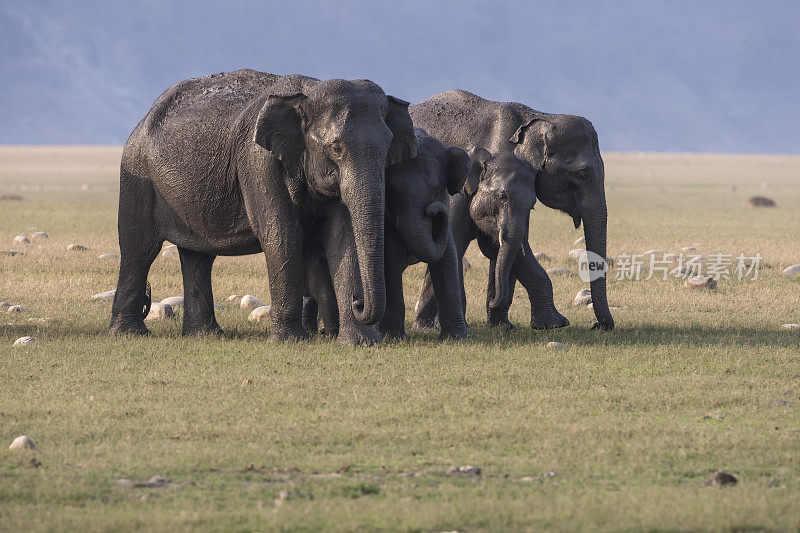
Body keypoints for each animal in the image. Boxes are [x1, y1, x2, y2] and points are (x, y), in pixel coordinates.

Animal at [112, 68, 418, 340]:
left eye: (388, 148)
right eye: (336, 148)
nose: (358, 302)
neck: (307, 94)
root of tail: (146, 116)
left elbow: (343, 236)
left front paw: (361, 341)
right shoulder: (258, 161)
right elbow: (281, 234)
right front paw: (289, 340)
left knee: (198, 256)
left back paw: (205, 334)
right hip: (138, 173)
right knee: (140, 247)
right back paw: (131, 333)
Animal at [304, 129, 472, 342]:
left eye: (437, 189)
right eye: (391, 196)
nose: (434, 211)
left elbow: (446, 257)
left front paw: (458, 338)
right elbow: (390, 260)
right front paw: (394, 337)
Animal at [412, 145, 568, 328]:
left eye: (532, 206)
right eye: (502, 197)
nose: (493, 301)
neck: (485, 159)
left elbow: (509, 252)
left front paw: (555, 324)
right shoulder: (452, 203)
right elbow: (453, 252)